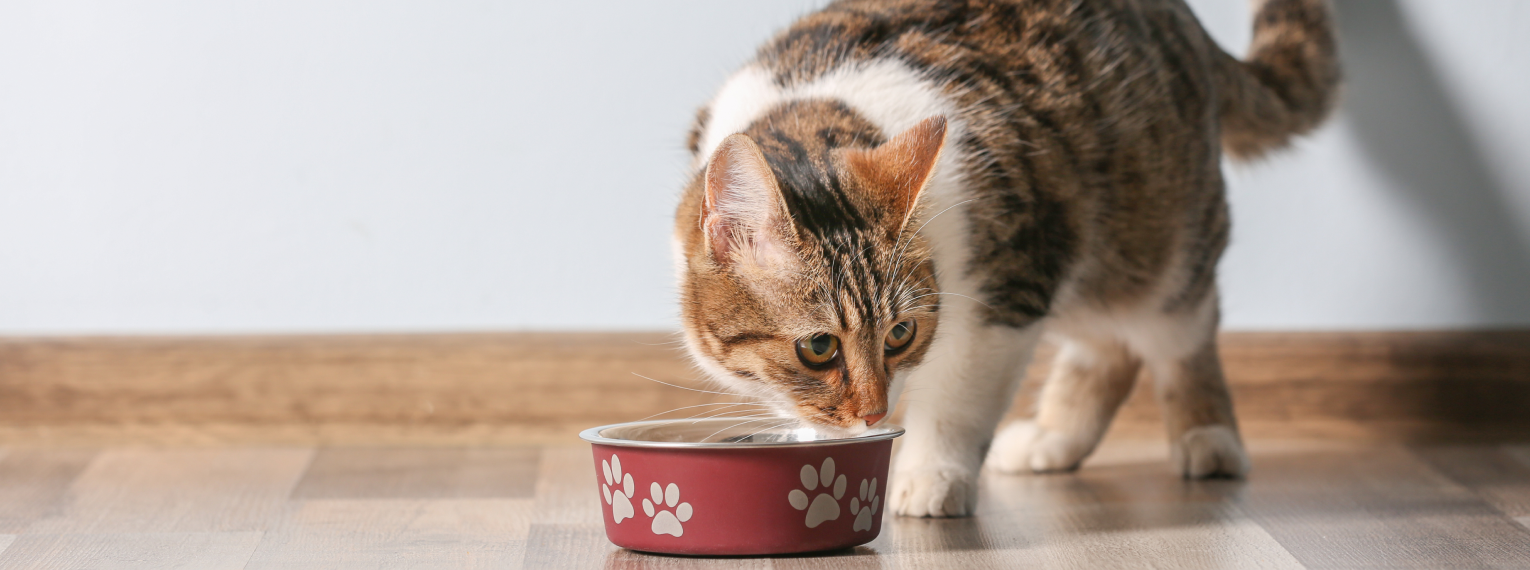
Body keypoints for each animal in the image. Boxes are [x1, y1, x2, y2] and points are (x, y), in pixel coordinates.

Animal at [670, 0, 1328, 516]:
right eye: (818, 347)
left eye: (901, 334)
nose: (875, 414)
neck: (816, 109)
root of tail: (1186, 24)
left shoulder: (1011, 280)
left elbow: (960, 392)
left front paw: (931, 474)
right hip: (1082, 249)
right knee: (1107, 343)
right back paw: (1052, 438)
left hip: (1151, 235)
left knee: (1178, 327)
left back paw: (1209, 436)